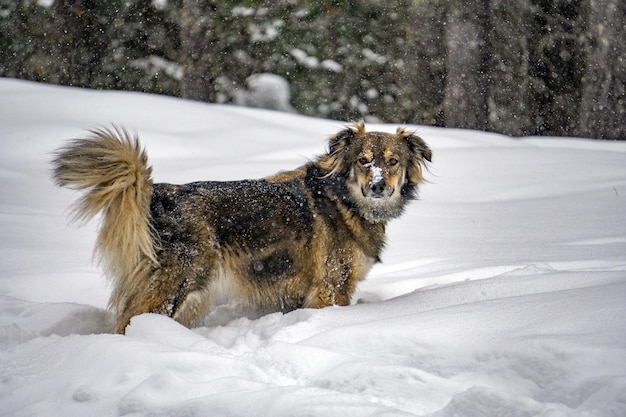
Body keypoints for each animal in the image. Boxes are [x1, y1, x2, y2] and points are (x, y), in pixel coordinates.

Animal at [53, 120, 428, 332]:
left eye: (393, 162)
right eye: (363, 161)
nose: (378, 186)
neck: (343, 199)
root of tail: (159, 194)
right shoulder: (330, 288)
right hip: (179, 283)